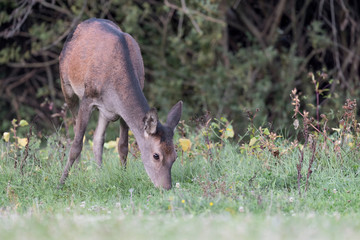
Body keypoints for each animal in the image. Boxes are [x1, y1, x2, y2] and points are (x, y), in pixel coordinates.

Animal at [59, 18, 183, 189]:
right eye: (156, 155)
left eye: (175, 155)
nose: (166, 187)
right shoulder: (88, 97)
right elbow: (77, 144)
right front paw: (61, 182)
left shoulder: (120, 111)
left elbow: (123, 145)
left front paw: (123, 176)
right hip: (66, 86)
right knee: (78, 132)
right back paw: (79, 171)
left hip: (105, 111)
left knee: (98, 138)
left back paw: (99, 174)